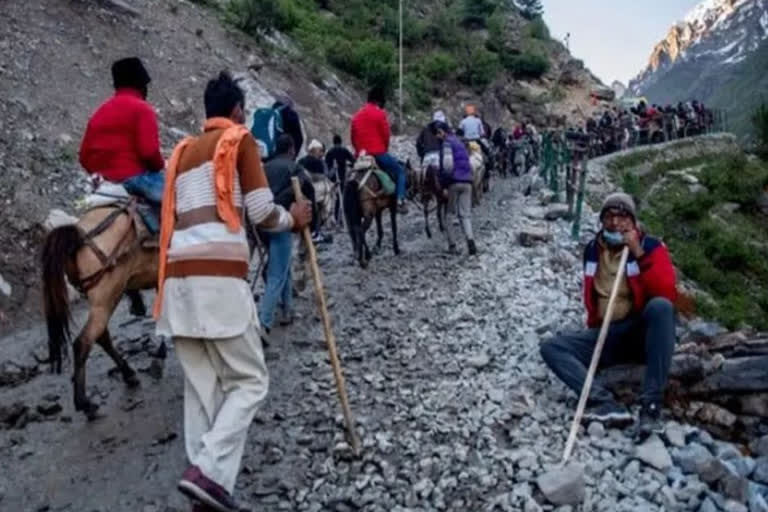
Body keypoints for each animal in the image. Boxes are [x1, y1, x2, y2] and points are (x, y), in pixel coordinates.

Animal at [41, 184, 159, 420]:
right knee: (84, 342)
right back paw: (85, 403)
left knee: (101, 336)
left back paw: (128, 374)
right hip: (107, 296)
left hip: (102, 300)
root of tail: (80, 237)